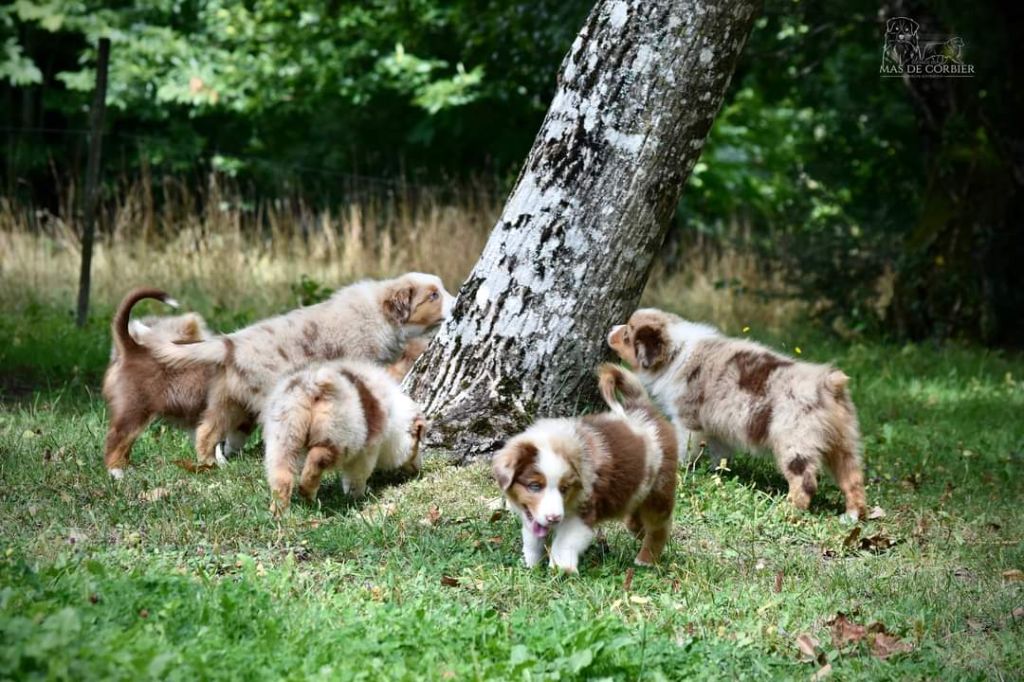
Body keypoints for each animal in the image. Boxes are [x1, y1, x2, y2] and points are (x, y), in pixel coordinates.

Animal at [135, 274, 452, 464]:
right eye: (433, 296)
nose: (456, 301)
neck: (380, 310)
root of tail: (230, 344)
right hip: (264, 394)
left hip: (229, 399)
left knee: (207, 431)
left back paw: (213, 465)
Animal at [264, 358, 428, 512]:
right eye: (417, 443)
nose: (419, 469)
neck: (393, 417)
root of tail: (313, 385)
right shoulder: (367, 450)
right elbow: (357, 476)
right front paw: (357, 497)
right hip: (341, 435)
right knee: (318, 457)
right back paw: (307, 493)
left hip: (284, 434)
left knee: (281, 476)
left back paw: (279, 511)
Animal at [491, 364, 675, 569]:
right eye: (534, 486)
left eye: (565, 488)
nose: (554, 518)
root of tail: (642, 408)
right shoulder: (531, 515)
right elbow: (532, 538)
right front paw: (531, 565)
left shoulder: (583, 514)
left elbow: (563, 543)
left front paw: (560, 569)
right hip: (638, 488)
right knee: (635, 517)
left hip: (659, 489)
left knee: (659, 527)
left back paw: (646, 560)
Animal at [602, 307, 868, 516]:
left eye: (627, 335)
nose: (610, 329)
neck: (676, 352)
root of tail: (829, 384)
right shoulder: (718, 428)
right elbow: (721, 455)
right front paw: (717, 473)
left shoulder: (687, 420)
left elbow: (685, 447)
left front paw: (680, 468)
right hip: (844, 444)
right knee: (853, 479)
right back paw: (852, 515)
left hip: (795, 442)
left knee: (805, 481)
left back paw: (787, 509)